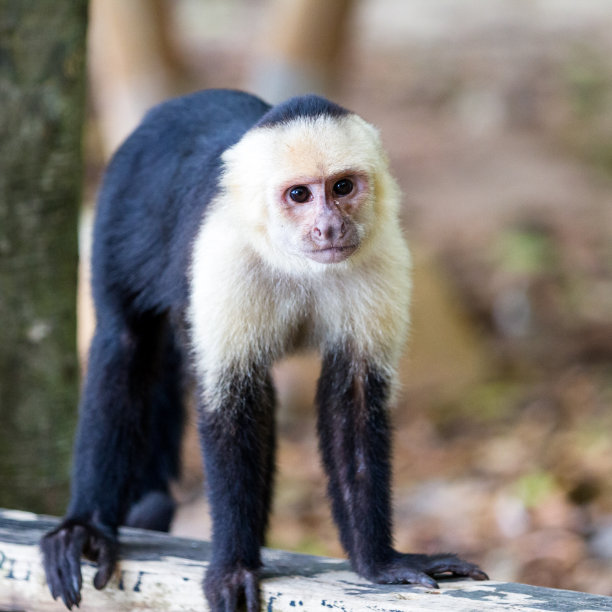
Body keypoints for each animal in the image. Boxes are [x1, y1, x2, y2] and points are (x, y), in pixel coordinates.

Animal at [39, 88, 488, 608]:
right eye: (300, 195)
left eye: (342, 187)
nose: (328, 227)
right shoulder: (223, 255)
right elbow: (230, 406)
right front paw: (234, 568)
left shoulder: (383, 254)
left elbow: (353, 400)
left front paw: (379, 562)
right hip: (117, 206)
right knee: (125, 344)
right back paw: (86, 526)